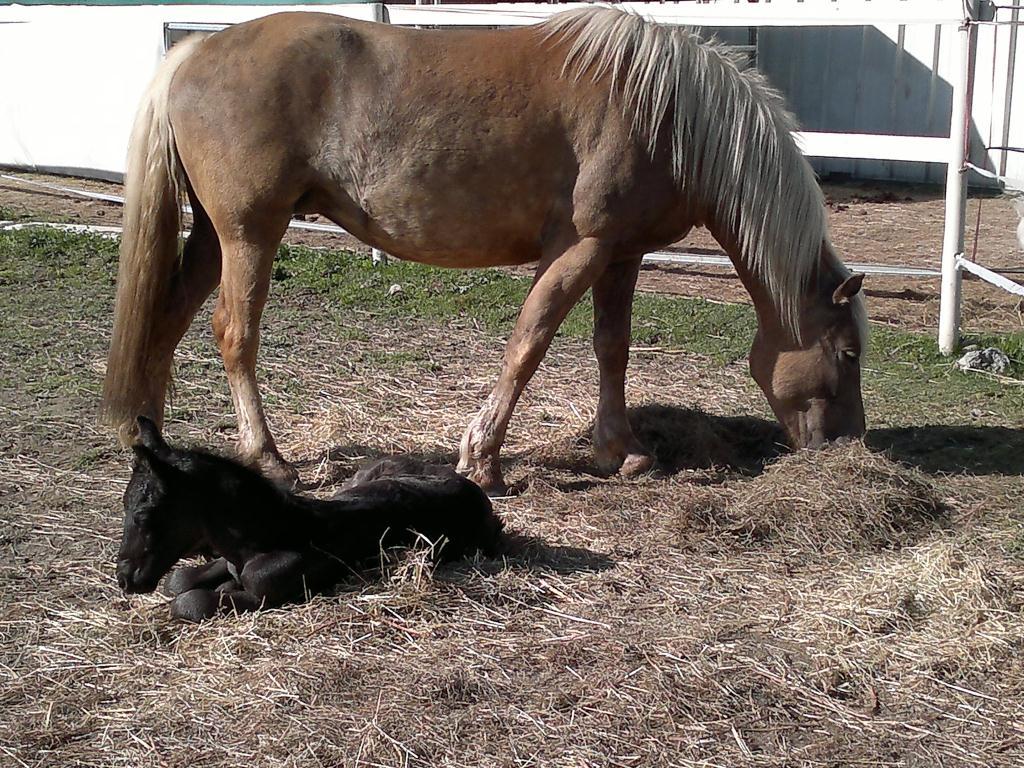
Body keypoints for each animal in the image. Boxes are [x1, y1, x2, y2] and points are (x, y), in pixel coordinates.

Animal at [101, 9, 864, 495]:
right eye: (848, 353)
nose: (845, 446)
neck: (669, 114)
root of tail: (193, 53)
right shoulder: (581, 248)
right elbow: (530, 342)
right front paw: (483, 460)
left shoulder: (621, 255)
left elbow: (611, 348)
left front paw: (622, 452)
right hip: (250, 234)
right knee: (234, 334)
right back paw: (269, 460)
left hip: (213, 237)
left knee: (167, 321)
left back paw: (153, 442)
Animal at [117, 417, 501, 622]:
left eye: (144, 513)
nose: (125, 578)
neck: (271, 532)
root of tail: (469, 484)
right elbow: (179, 580)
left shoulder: (269, 590)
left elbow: (190, 601)